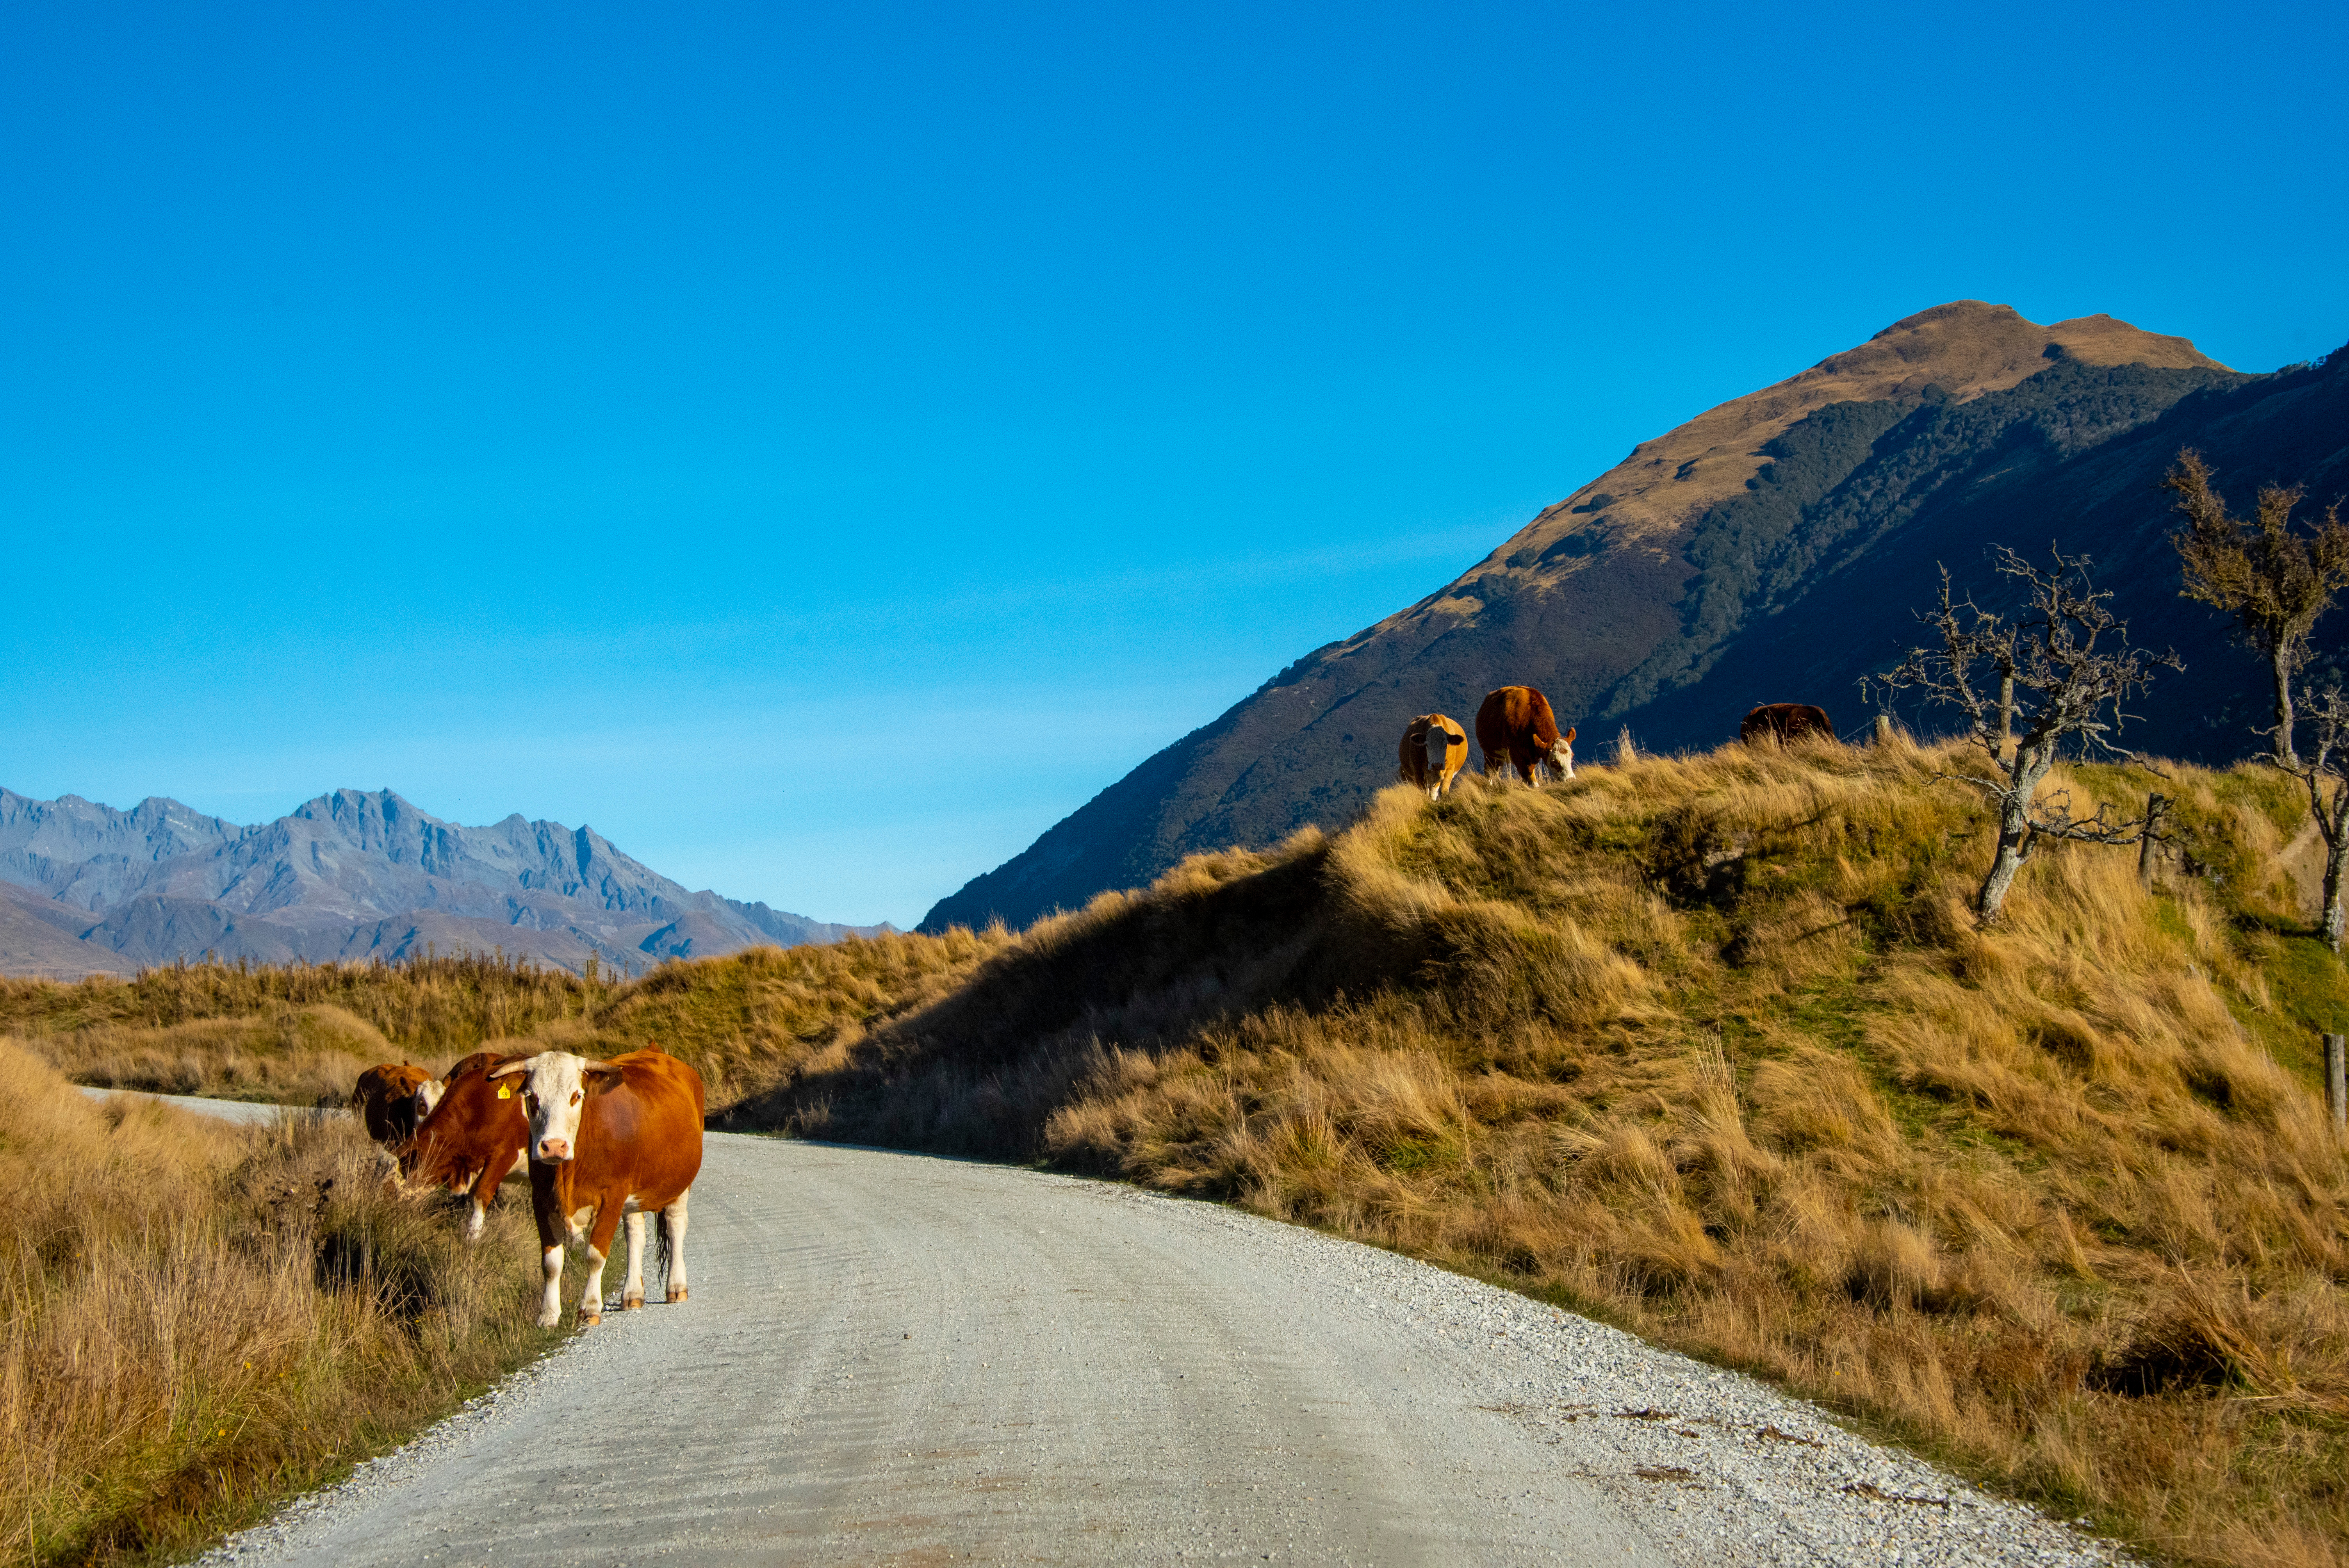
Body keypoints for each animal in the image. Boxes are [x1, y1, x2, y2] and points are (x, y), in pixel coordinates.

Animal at [488, 1048, 705, 1328]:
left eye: (576, 1096)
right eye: (532, 1098)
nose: (554, 1146)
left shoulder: (612, 1196)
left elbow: (595, 1255)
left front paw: (590, 1307)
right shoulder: (541, 1198)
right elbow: (551, 1263)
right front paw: (548, 1315)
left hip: (680, 1184)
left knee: (675, 1225)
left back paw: (676, 1287)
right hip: (633, 1193)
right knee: (635, 1234)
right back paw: (633, 1294)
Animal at [1398, 713, 1470, 801]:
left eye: (1446, 744)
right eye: (1427, 745)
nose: (1437, 765)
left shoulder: (1450, 767)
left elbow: (1444, 790)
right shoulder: (1418, 771)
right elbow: (1425, 791)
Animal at [1475, 686, 1577, 785]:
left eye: (1572, 756)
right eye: (1554, 761)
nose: (1570, 779)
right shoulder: (1516, 755)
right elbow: (1531, 781)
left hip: (1500, 758)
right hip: (1489, 754)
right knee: (1489, 773)